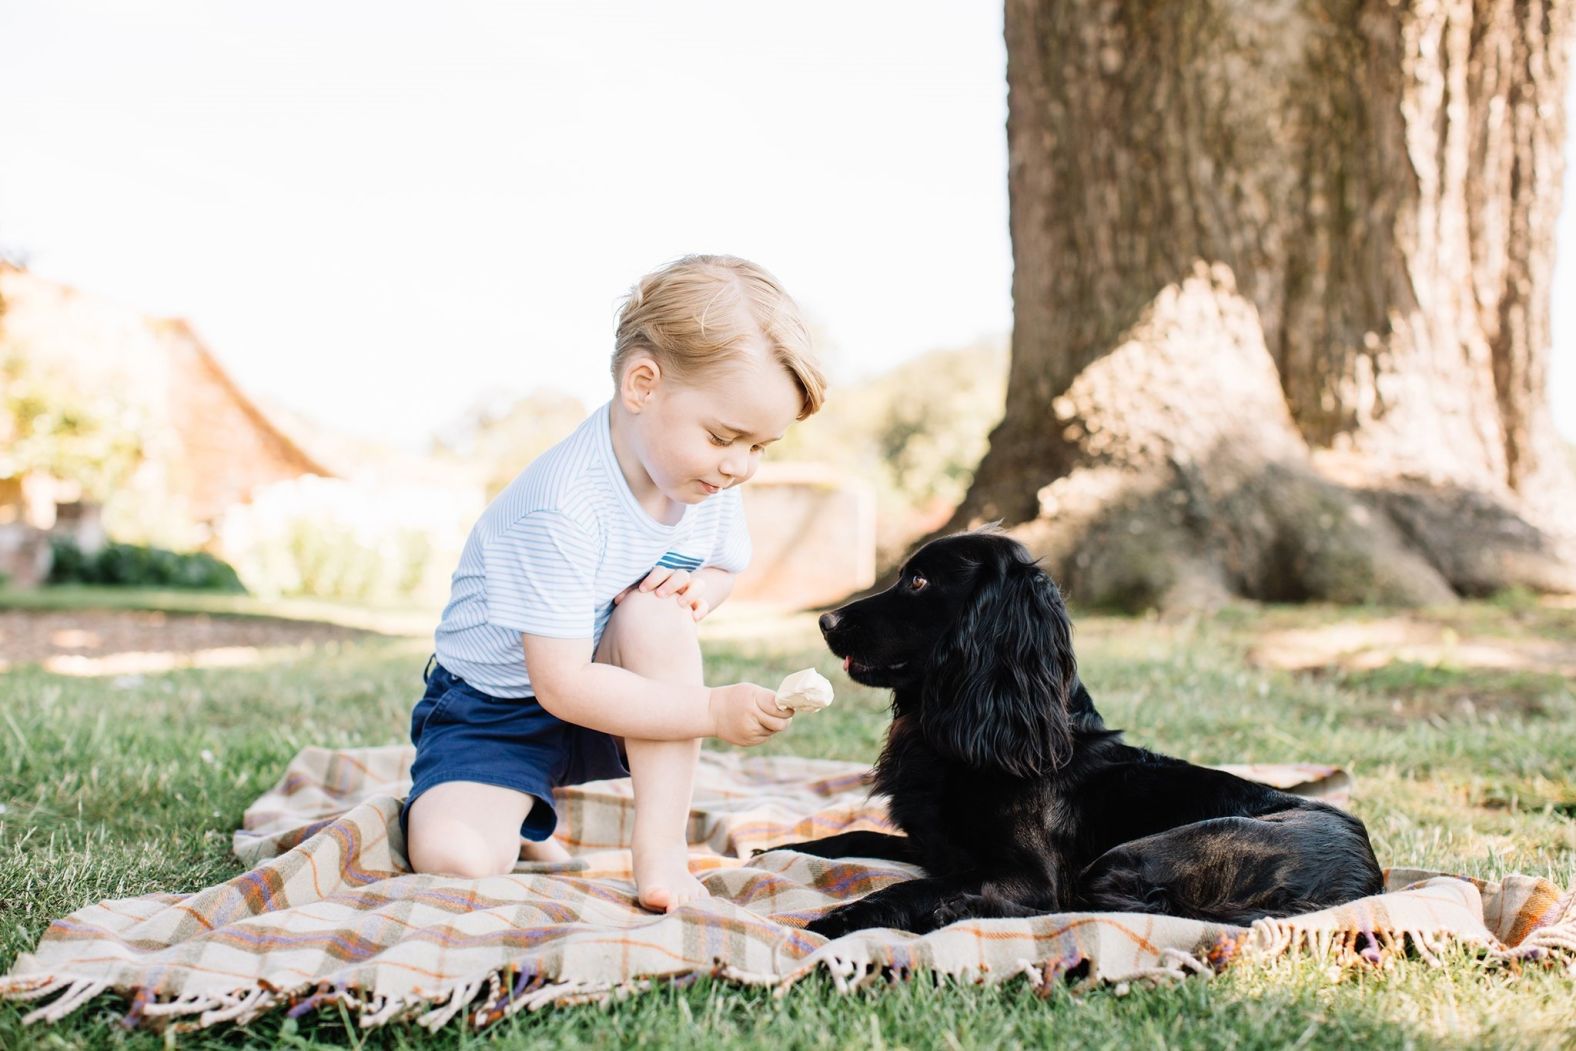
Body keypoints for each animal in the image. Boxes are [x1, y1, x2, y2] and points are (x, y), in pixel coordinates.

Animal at [762, 535, 1380, 939]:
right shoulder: (936, 847)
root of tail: (1364, 881)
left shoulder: (1025, 875)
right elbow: (852, 837)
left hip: (1133, 857)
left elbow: (918, 887)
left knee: (1111, 911)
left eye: (917, 580)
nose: (824, 621)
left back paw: (956, 914)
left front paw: (847, 915)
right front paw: (773, 849)